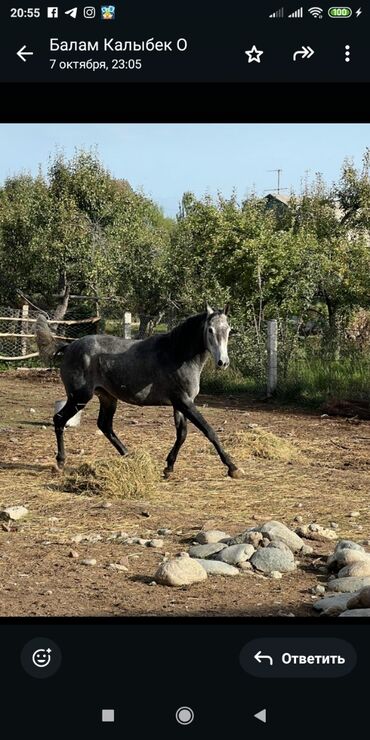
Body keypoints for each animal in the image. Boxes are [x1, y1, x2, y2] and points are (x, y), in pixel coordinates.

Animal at [34, 304, 243, 480]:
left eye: (228, 329)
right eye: (210, 330)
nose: (223, 362)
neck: (177, 354)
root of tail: (69, 346)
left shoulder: (180, 404)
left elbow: (182, 434)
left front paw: (168, 467)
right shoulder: (184, 402)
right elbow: (209, 431)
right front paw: (233, 468)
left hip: (107, 398)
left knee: (105, 426)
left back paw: (129, 456)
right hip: (79, 397)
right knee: (60, 419)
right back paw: (60, 462)